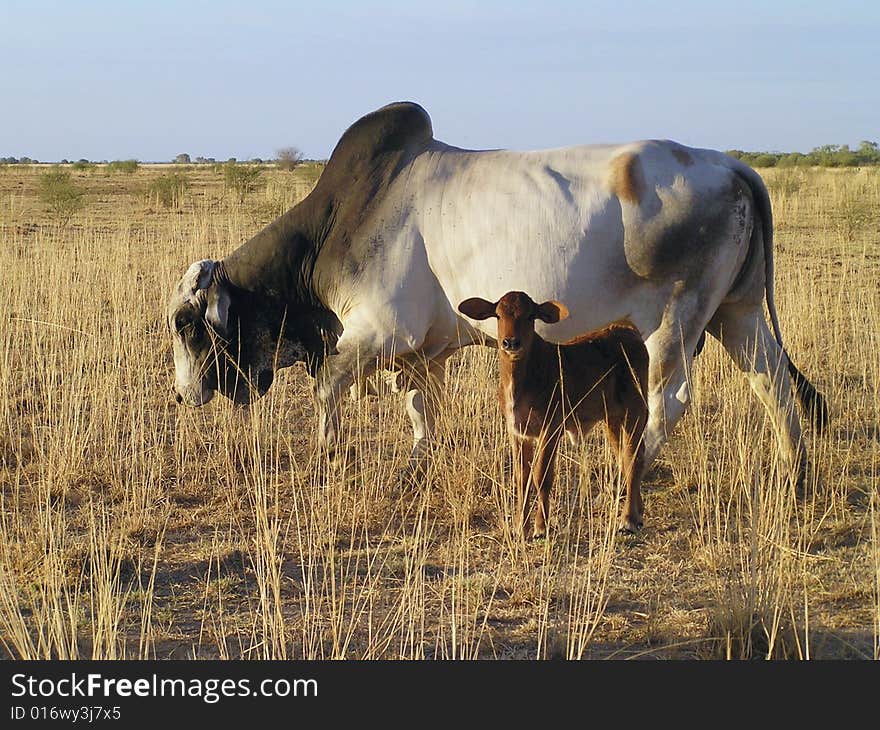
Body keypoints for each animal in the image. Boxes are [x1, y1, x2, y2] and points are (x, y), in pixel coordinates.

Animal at [168, 96, 828, 484]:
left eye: (185, 324)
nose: (181, 396)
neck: (339, 222)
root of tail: (731, 164)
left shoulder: (381, 330)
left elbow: (329, 388)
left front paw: (327, 455)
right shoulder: (422, 352)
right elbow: (419, 407)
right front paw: (419, 459)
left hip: (672, 323)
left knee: (670, 402)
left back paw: (631, 472)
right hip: (737, 313)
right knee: (773, 382)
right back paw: (791, 471)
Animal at [458, 288, 648, 536]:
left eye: (530, 316)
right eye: (498, 315)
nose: (511, 342)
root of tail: (627, 330)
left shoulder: (551, 427)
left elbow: (542, 476)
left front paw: (541, 526)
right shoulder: (517, 432)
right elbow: (522, 478)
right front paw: (520, 526)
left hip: (636, 409)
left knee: (634, 458)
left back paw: (628, 519)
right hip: (612, 418)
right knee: (626, 455)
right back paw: (639, 511)